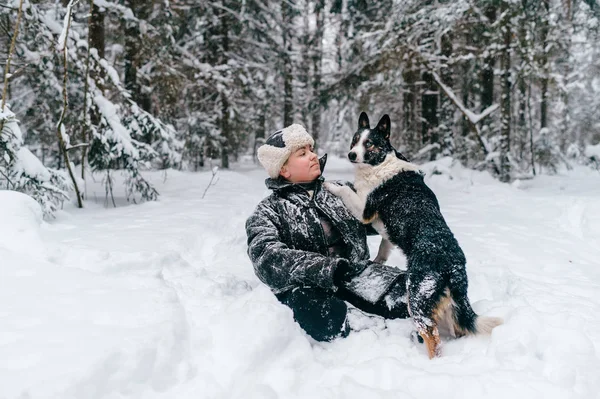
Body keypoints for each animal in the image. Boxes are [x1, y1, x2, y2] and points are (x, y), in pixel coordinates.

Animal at [324, 112, 502, 360]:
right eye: (355, 140)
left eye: (369, 144)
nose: (351, 155)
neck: (381, 163)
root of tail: (454, 265)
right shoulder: (386, 231)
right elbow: (383, 249)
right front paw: (377, 262)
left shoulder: (364, 210)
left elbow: (346, 190)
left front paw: (330, 184)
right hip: (446, 304)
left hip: (418, 297)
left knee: (432, 337)